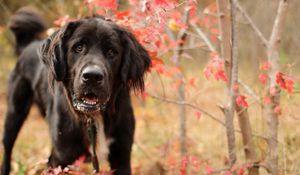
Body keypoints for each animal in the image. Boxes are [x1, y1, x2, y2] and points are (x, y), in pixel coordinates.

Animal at [0, 7, 150, 175]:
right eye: (78, 47)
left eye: (112, 52)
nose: (92, 76)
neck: (93, 117)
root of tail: (28, 45)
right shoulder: (63, 156)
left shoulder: (121, 156)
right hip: (14, 114)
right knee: (7, 149)